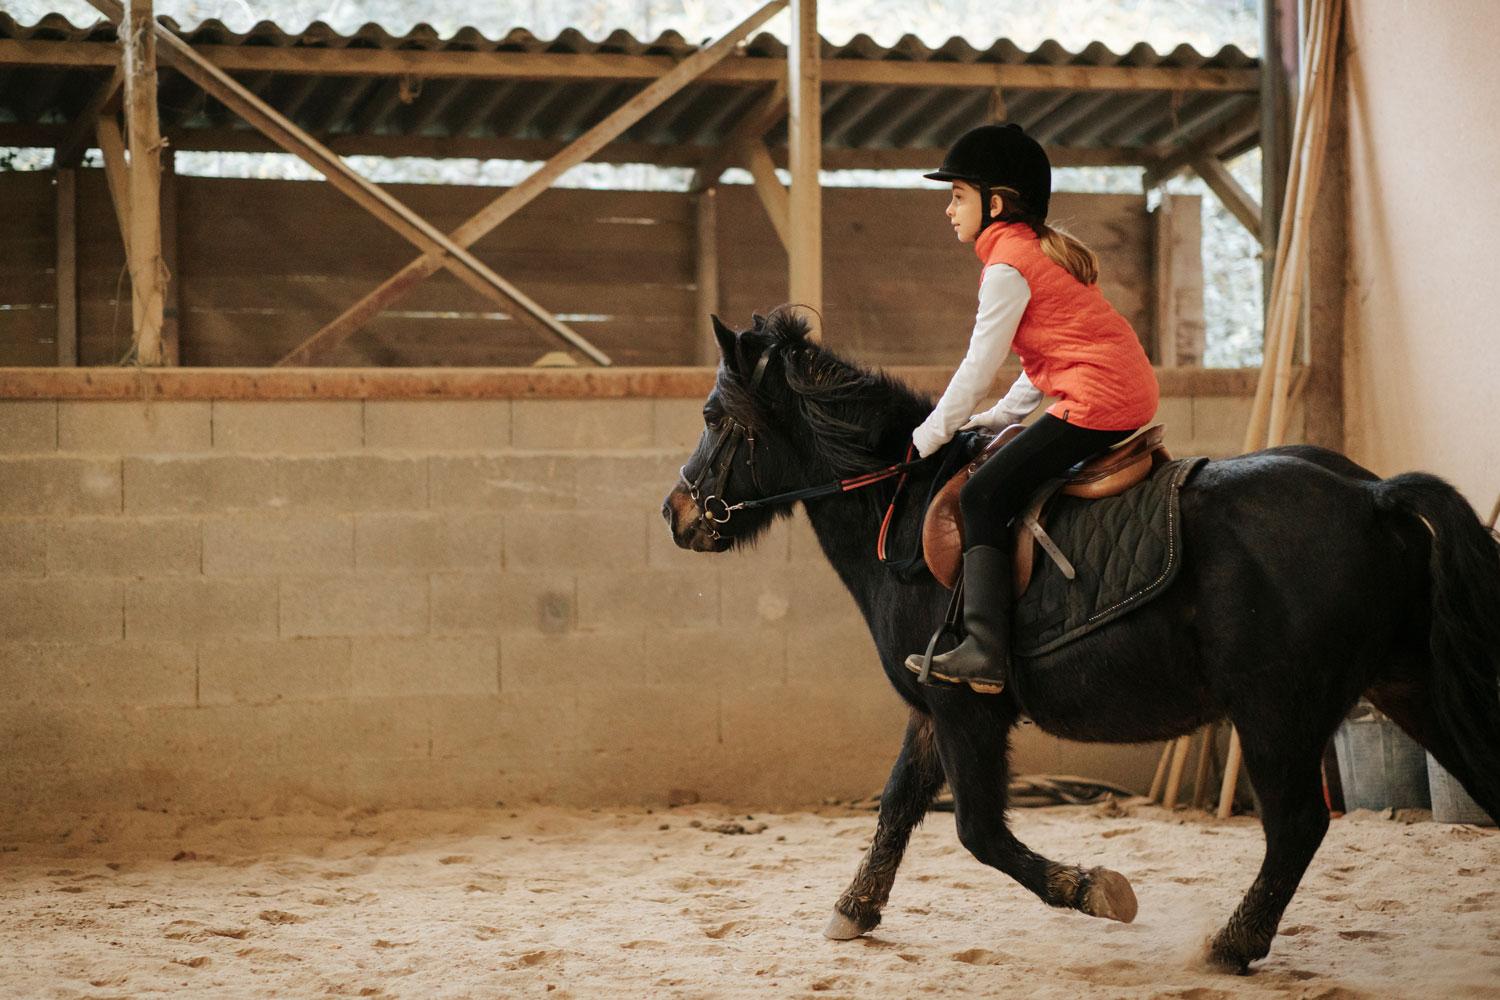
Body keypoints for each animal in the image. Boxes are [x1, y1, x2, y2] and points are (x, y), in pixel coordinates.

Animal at [663, 310, 1500, 971]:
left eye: (713, 416)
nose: (677, 513)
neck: (900, 513)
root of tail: (1371, 493)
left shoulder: (965, 709)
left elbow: (978, 832)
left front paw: (1096, 890)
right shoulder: (932, 709)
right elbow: (898, 806)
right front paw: (854, 909)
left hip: (1277, 714)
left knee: (1297, 827)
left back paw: (1232, 944)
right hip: (1409, 686)